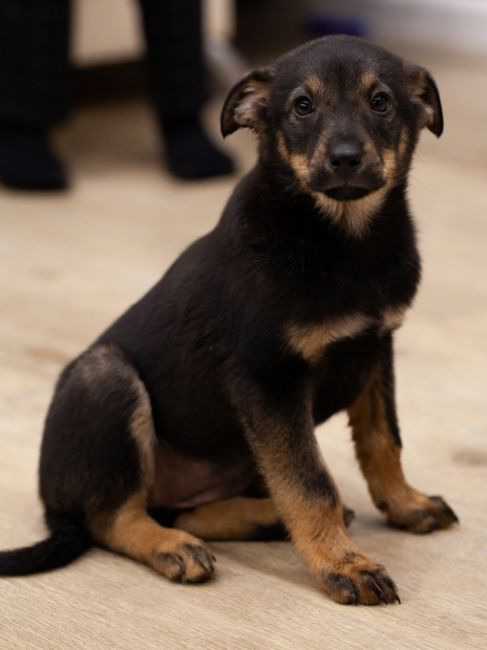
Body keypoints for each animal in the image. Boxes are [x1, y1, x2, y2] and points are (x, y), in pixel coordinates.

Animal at [0, 35, 458, 604]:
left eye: (381, 102)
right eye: (301, 106)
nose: (346, 159)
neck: (343, 240)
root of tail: (54, 509)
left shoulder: (376, 349)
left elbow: (383, 440)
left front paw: (406, 504)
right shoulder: (269, 379)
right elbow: (311, 482)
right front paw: (343, 565)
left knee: (184, 511)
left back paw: (262, 519)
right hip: (106, 378)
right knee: (113, 516)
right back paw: (172, 547)